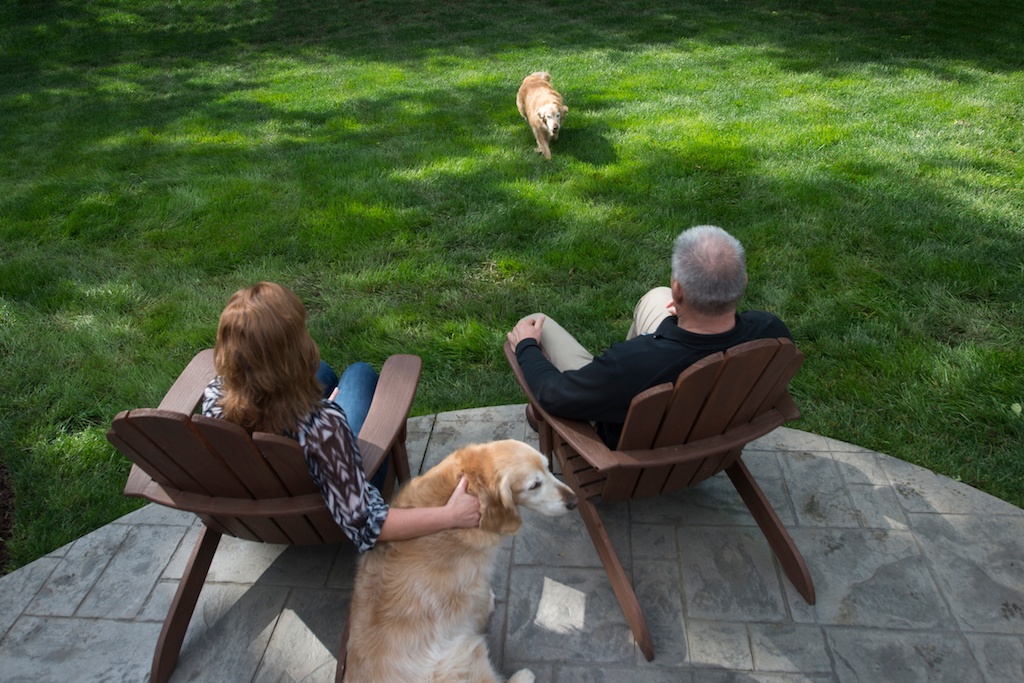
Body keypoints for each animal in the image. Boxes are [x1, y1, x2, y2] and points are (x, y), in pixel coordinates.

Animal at [346, 440, 577, 679]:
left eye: (548, 468)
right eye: (534, 485)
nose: (574, 501)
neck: (472, 487)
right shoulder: (474, 585)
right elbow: (480, 604)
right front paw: (489, 605)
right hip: (463, 653)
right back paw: (523, 675)